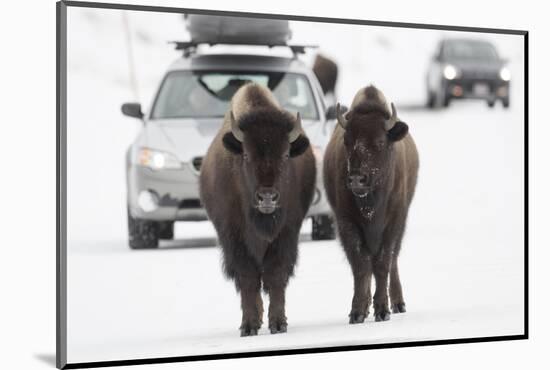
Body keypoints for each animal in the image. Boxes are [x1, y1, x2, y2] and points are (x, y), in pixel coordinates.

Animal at [201, 83, 316, 336]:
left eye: (285, 154)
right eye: (246, 154)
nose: (267, 197)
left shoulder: (286, 234)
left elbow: (275, 275)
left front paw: (278, 323)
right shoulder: (233, 238)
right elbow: (248, 278)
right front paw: (249, 326)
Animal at [324, 86, 418, 324]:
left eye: (379, 142)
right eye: (347, 141)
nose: (357, 179)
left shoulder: (393, 223)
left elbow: (383, 264)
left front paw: (382, 310)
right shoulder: (347, 223)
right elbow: (361, 265)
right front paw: (358, 311)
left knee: (393, 262)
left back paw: (398, 303)